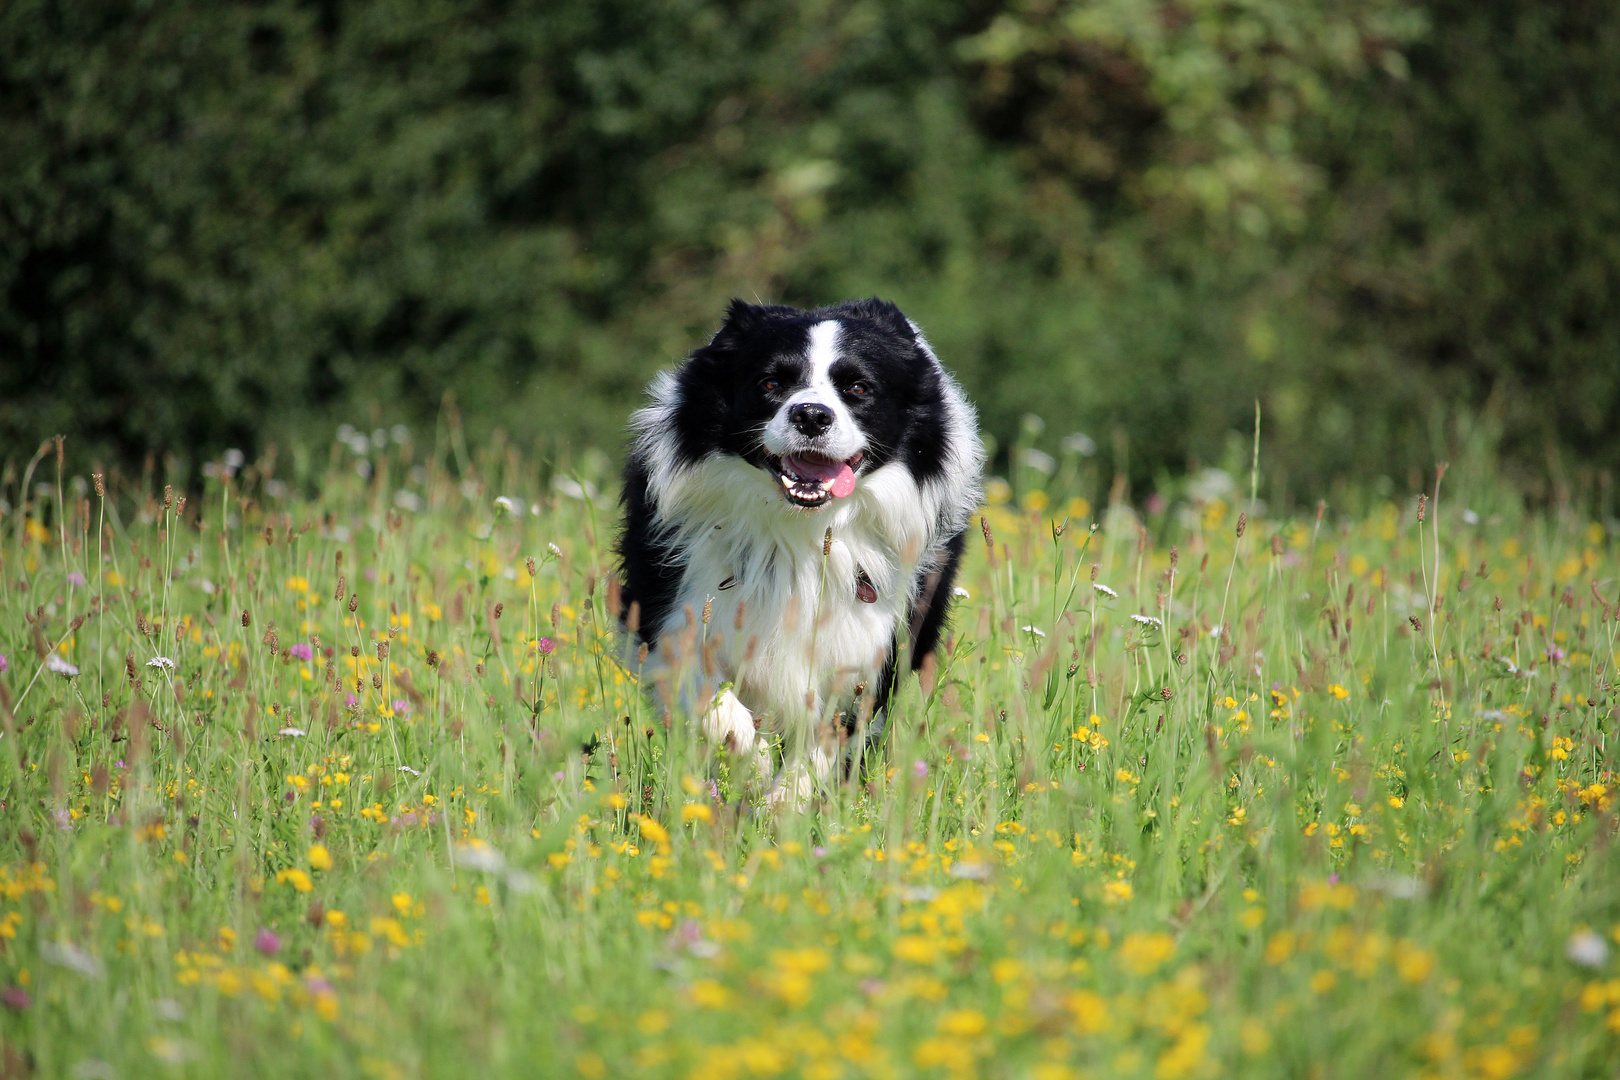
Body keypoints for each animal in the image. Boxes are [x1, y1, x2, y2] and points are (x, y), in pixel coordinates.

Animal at [612, 299, 978, 806]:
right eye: (771, 383)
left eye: (858, 388)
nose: (811, 415)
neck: (801, 529)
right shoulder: (667, 604)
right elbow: (706, 688)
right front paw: (747, 755)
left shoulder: (874, 643)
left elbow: (830, 734)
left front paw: (788, 802)